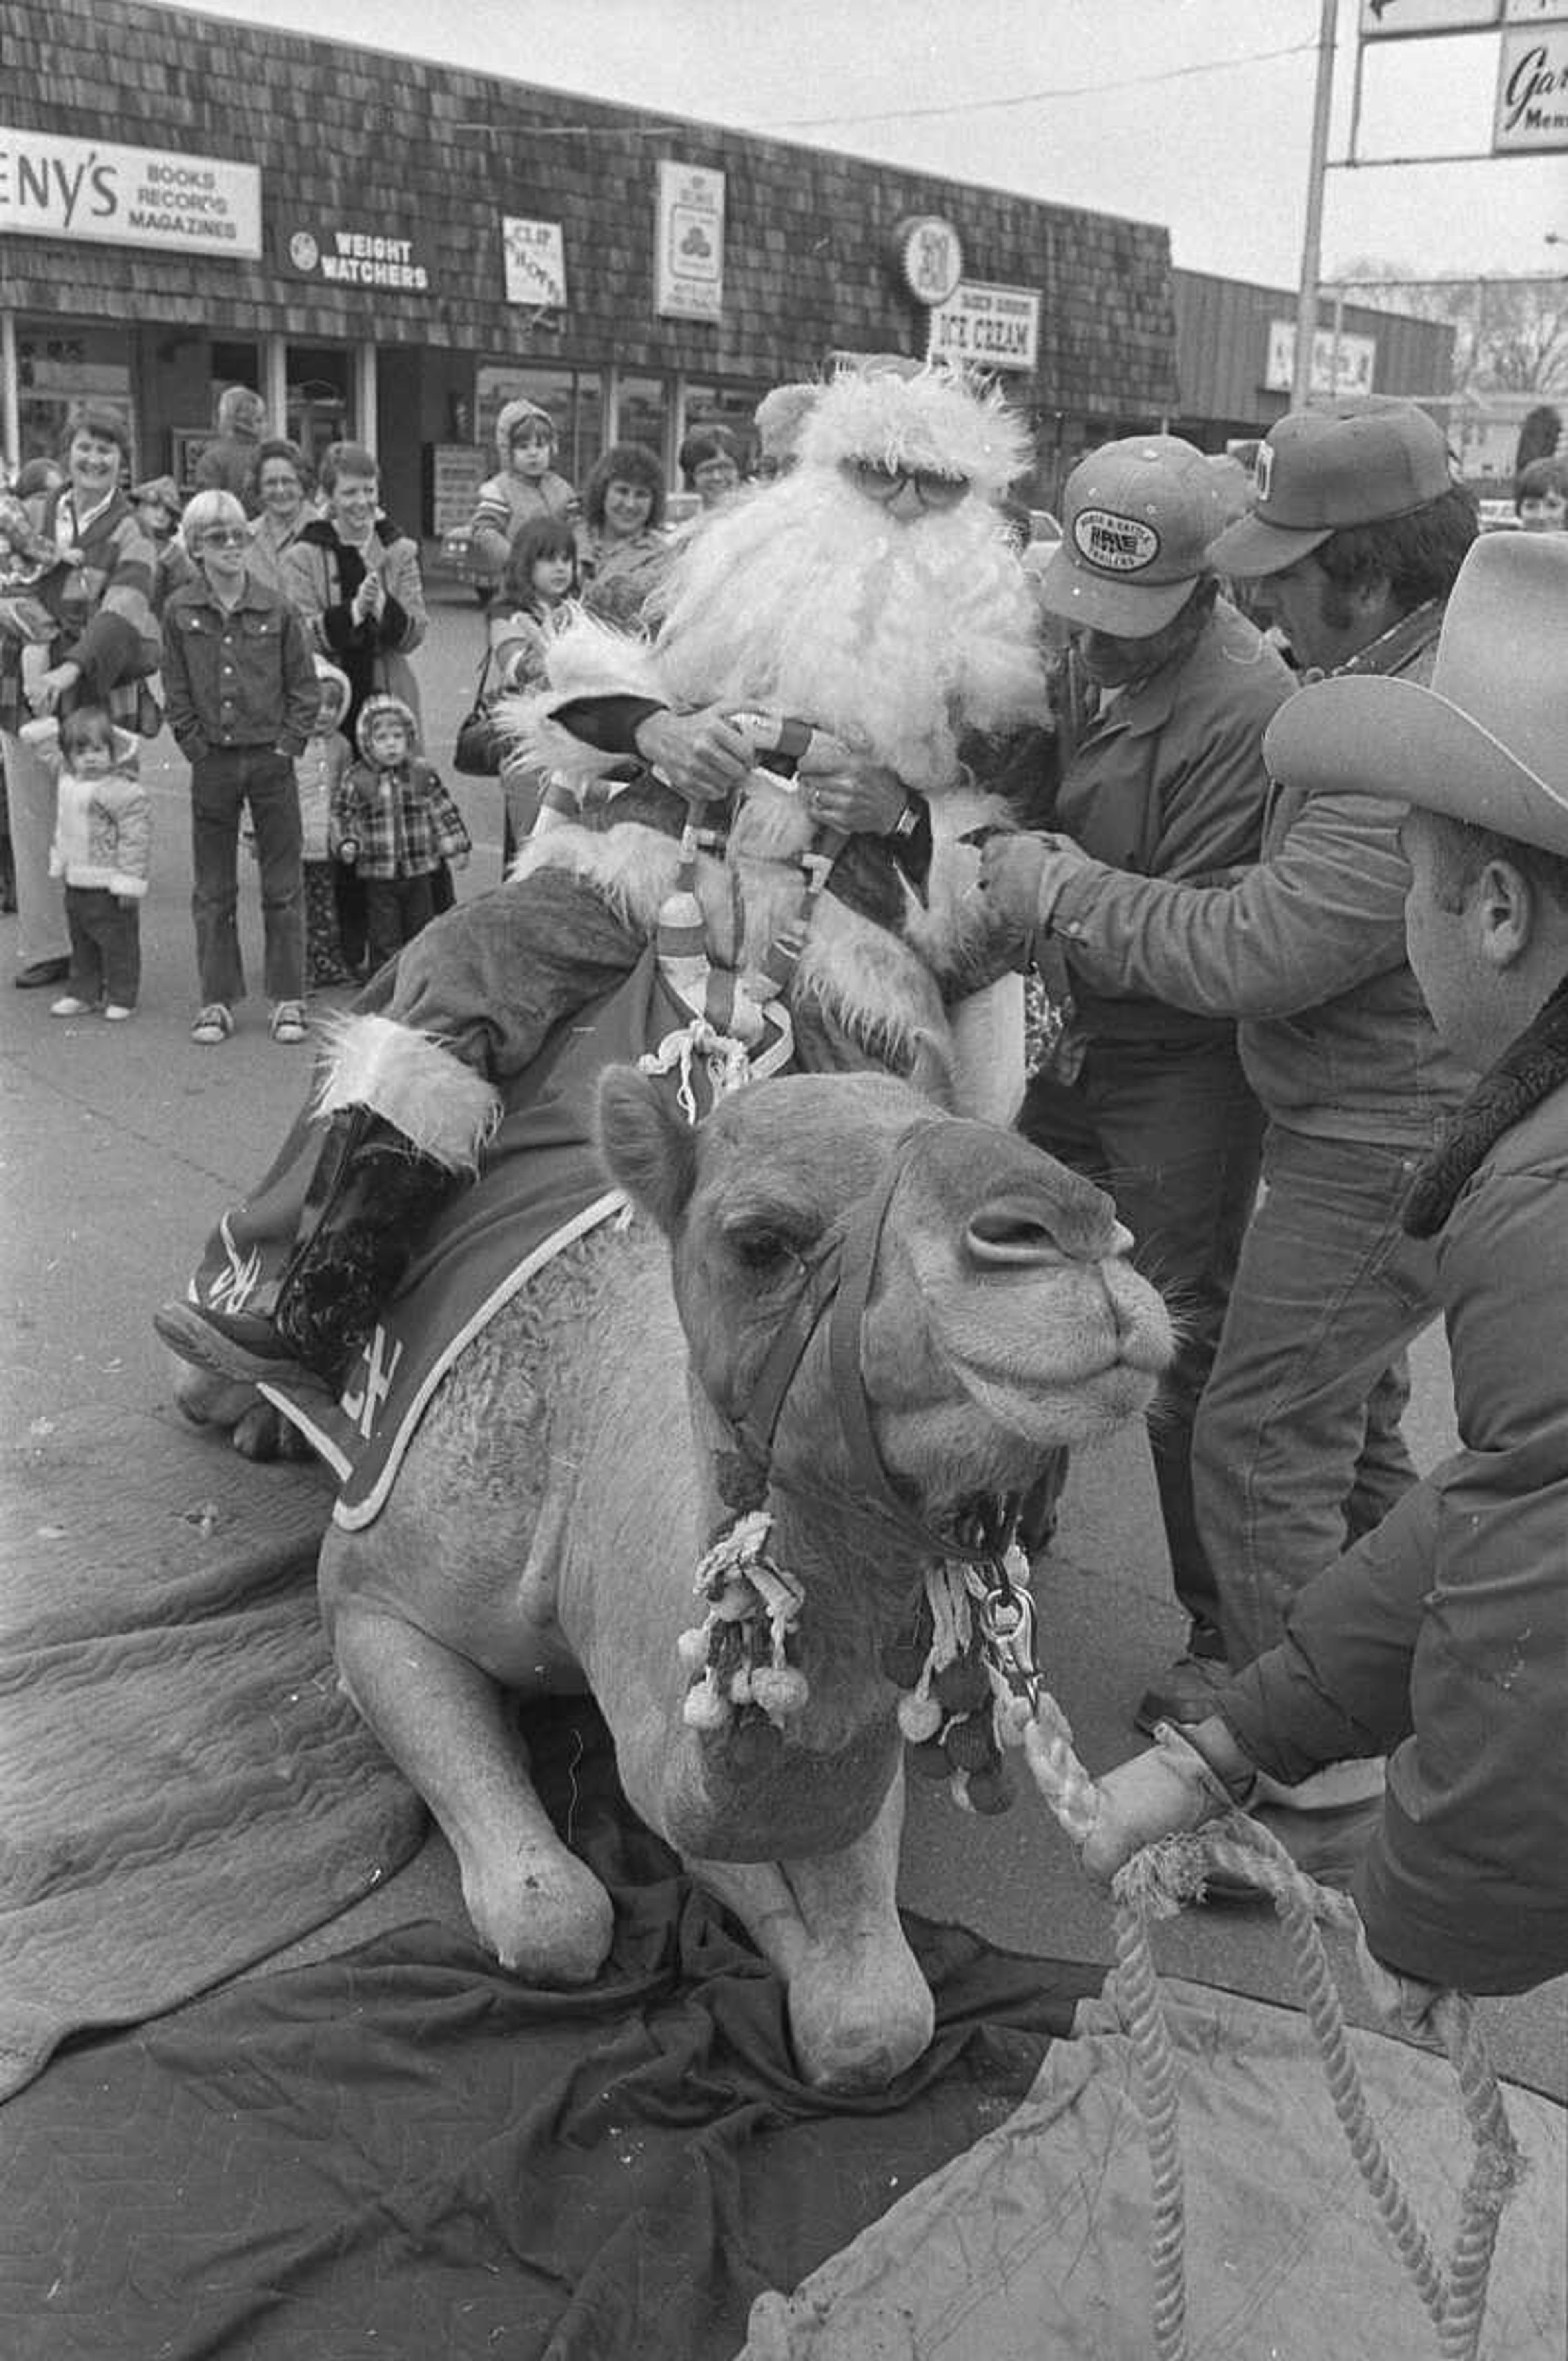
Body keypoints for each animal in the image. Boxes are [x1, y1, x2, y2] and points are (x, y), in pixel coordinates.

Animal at [174, 1072, 1176, 2087]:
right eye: (761, 1240)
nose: (1081, 1230)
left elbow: (876, 2015)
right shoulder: (372, 1597)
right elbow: (556, 1917)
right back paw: (256, 1406)